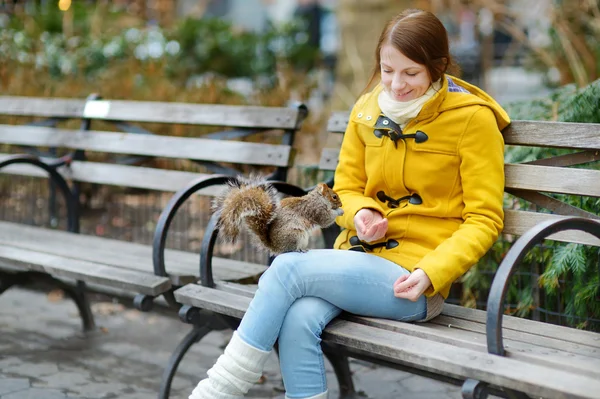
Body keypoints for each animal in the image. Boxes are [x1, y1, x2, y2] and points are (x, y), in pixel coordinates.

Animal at [212, 176, 344, 256]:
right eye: (334, 197)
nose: (341, 204)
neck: (318, 199)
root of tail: (276, 247)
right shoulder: (316, 209)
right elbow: (326, 220)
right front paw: (340, 211)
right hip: (296, 234)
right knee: (291, 249)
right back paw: (300, 249)